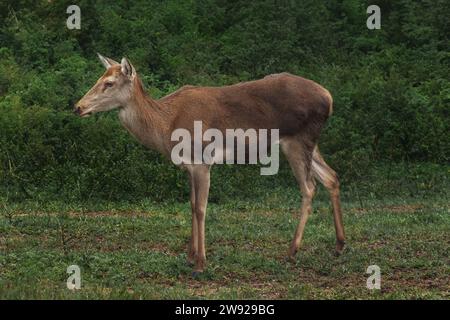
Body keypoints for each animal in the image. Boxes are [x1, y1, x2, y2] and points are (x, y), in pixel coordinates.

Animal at [75, 53, 346, 276]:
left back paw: (291, 251)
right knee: (331, 176)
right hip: (309, 143)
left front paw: (201, 263)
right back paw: (339, 245)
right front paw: (189, 255)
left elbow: (201, 208)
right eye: (99, 78)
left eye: (109, 83)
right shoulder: (188, 165)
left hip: (297, 139)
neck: (166, 125)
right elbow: (191, 204)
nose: (78, 107)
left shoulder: (202, 160)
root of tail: (329, 97)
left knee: (309, 187)